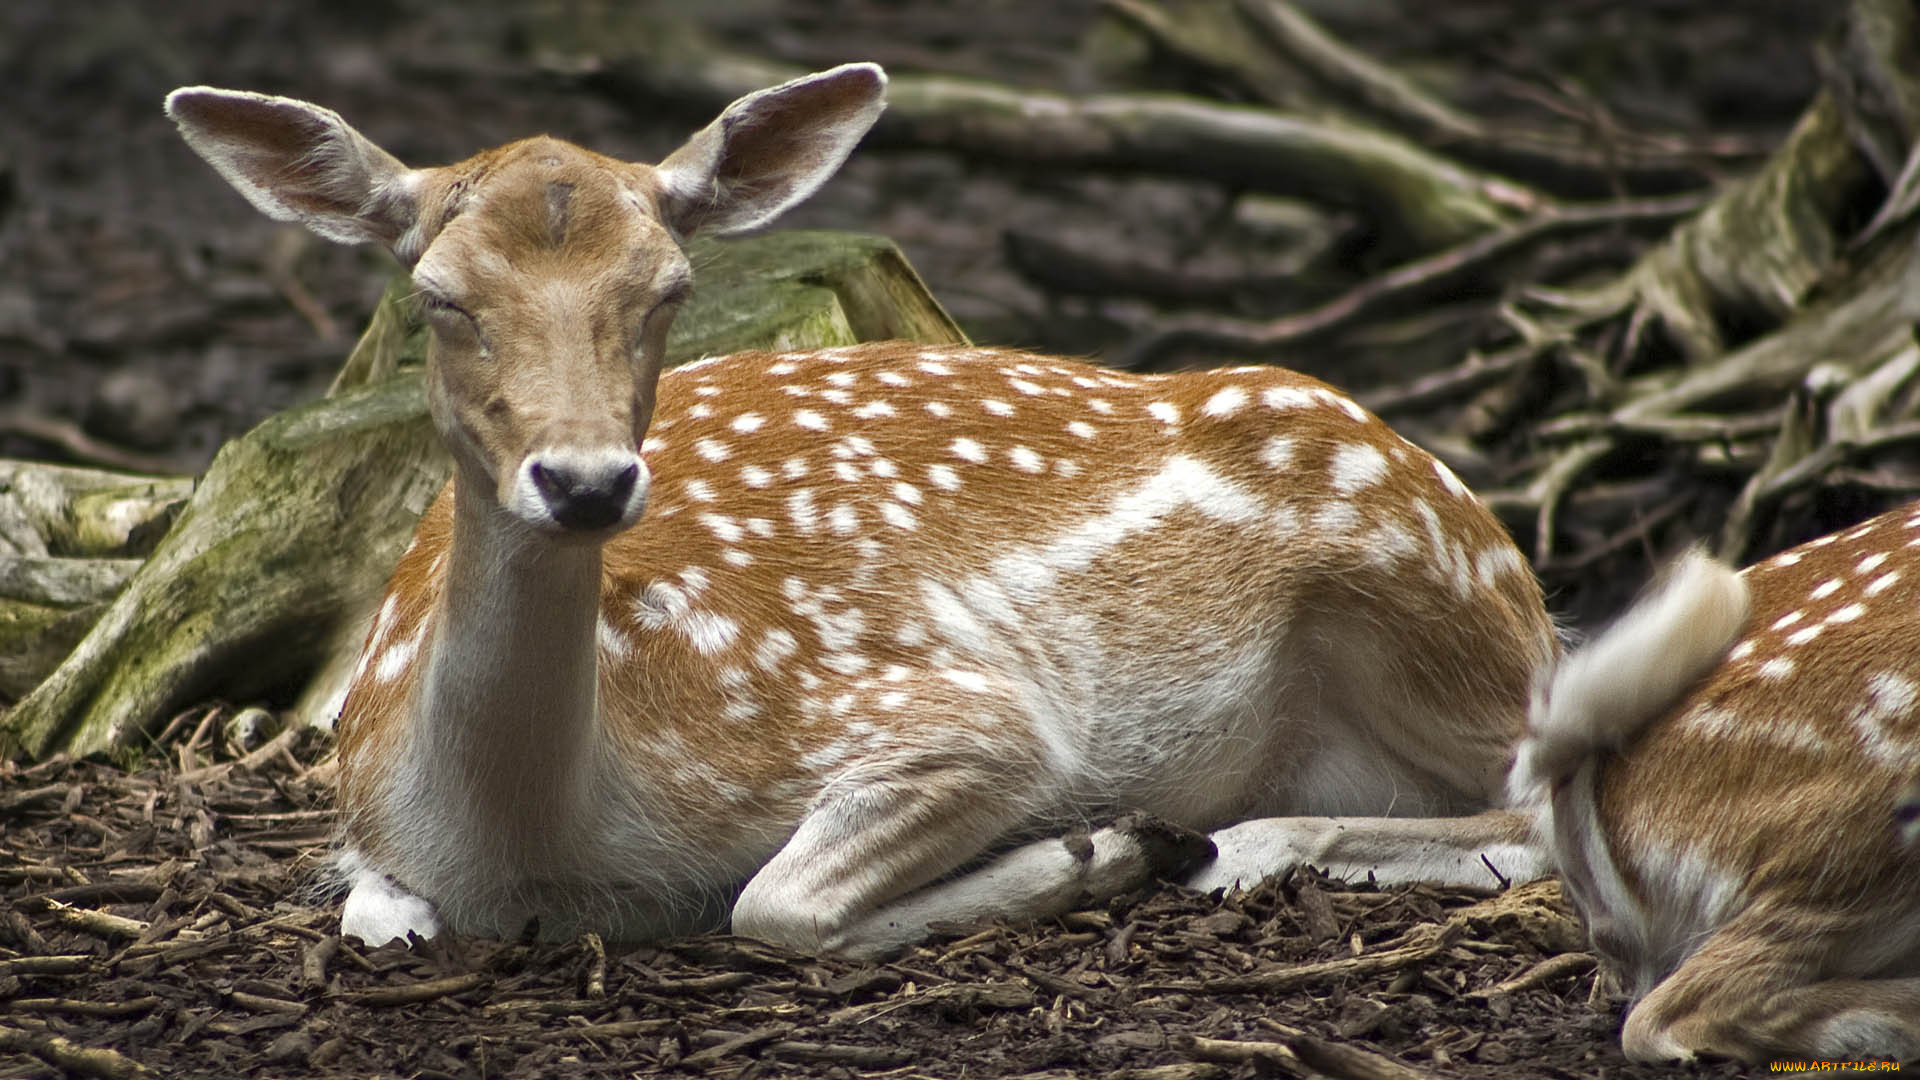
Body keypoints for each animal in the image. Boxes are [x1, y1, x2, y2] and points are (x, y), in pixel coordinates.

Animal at [168, 62, 1559, 953]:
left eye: (670, 288)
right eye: (439, 295)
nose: (586, 480)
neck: (526, 845)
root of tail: (1521, 581)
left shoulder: (959, 711)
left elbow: (770, 908)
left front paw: (1095, 850)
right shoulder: (355, 791)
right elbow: (375, 917)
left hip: (1416, 576)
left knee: (1547, 797)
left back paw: (1239, 845)